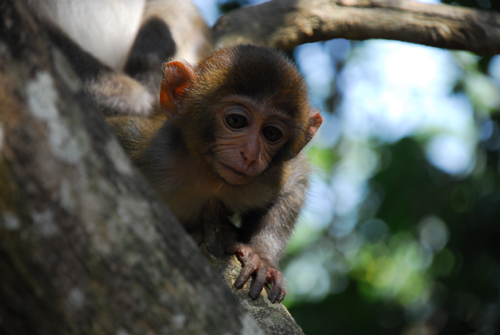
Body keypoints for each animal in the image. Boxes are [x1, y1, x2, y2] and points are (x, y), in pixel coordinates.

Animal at [107, 44, 322, 304]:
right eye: (236, 120)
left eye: (272, 133)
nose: (250, 154)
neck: (208, 174)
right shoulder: (151, 148)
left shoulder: (267, 177)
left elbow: (295, 182)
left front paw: (262, 256)